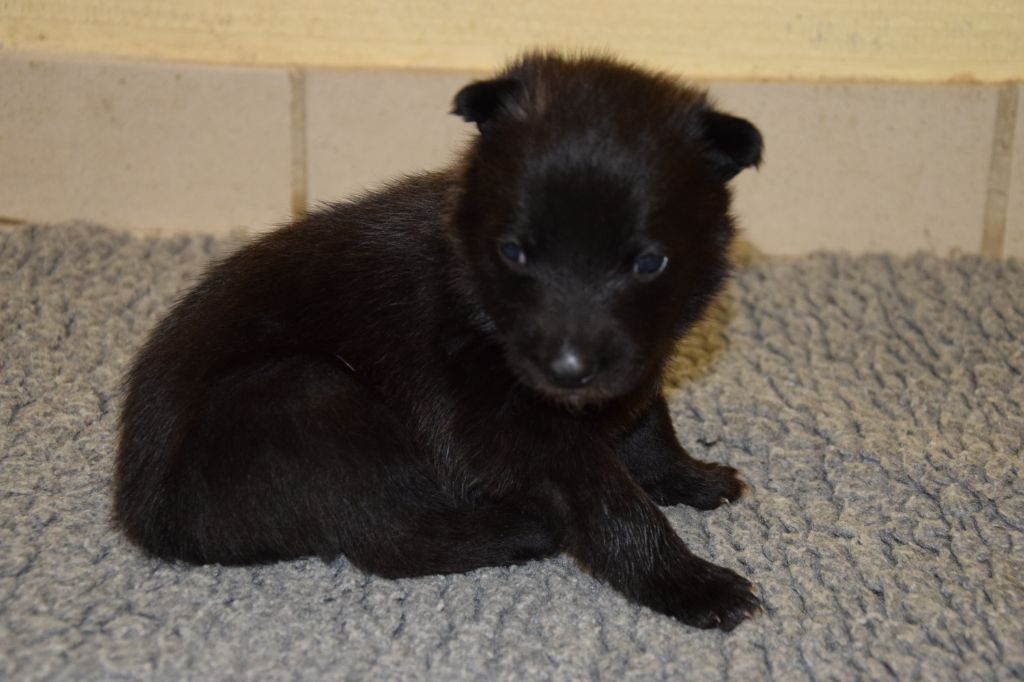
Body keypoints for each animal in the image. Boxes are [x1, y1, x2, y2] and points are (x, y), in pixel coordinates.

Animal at [115, 52, 764, 630]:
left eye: (649, 262)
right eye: (513, 252)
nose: (567, 368)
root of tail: (141, 509)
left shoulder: (634, 365)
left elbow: (651, 424)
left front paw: (693, 478)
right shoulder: (520, 433)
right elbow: (616, 505)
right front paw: (692, 583)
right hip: (308, 395)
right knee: (390, 538)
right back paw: (522, 528)